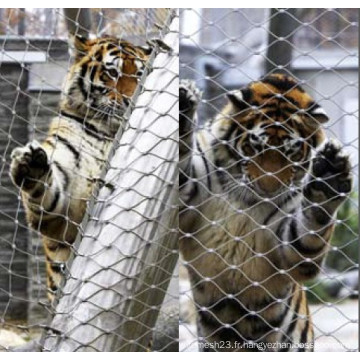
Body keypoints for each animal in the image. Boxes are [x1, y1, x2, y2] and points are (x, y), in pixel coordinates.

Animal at [8, 34, 152, 304]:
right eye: (113, 72)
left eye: (140, 74)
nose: (131, 100)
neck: (108, 131)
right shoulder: (63, 208)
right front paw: (32, 165)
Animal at [179, 74, 352, 352]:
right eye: (254, 146)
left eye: (292, 152)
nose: (268, 187)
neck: (247, 199)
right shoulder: (190, 193)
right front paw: (184, 101)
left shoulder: (289, 245)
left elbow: (310, 228)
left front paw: (330, 176)